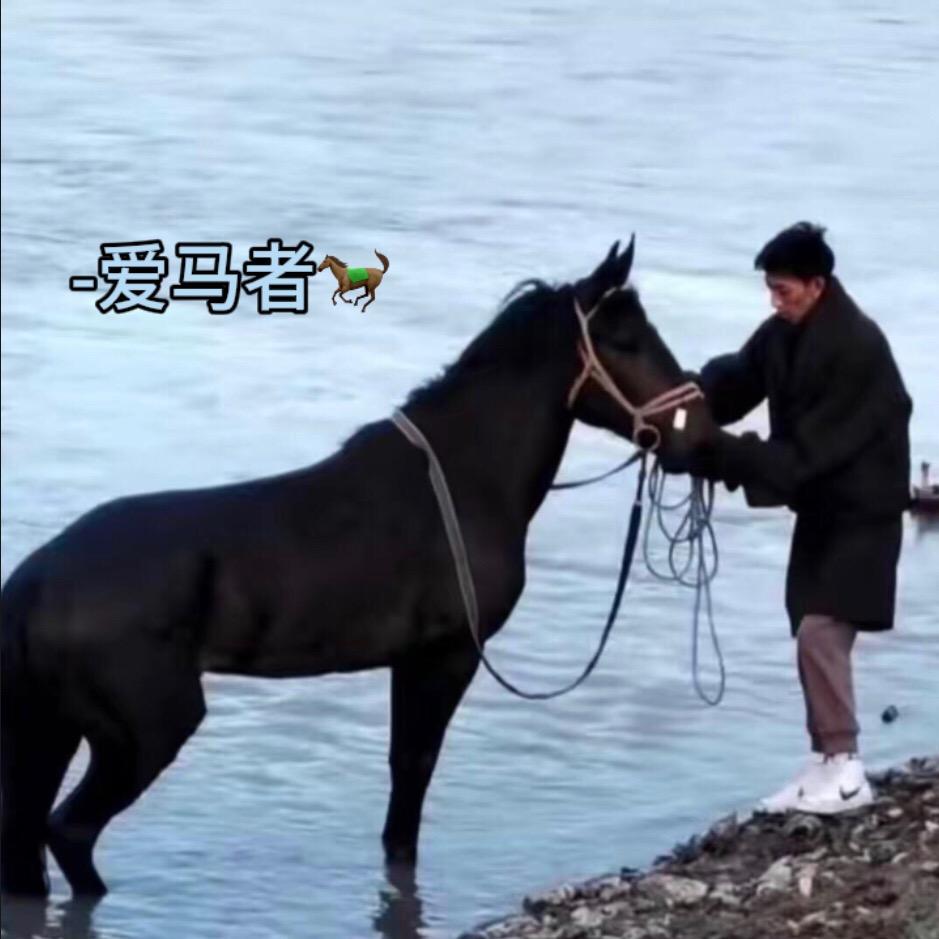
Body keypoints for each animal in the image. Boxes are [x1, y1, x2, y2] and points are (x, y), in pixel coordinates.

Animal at [0, 237, 710, 898]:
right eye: (627, 341)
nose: (698, 431)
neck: (464, 477)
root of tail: (35, 581)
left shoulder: (414, 661)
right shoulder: (446, 655)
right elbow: (412, 780)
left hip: (56, 728)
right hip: (141, 734)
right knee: (69, 832)